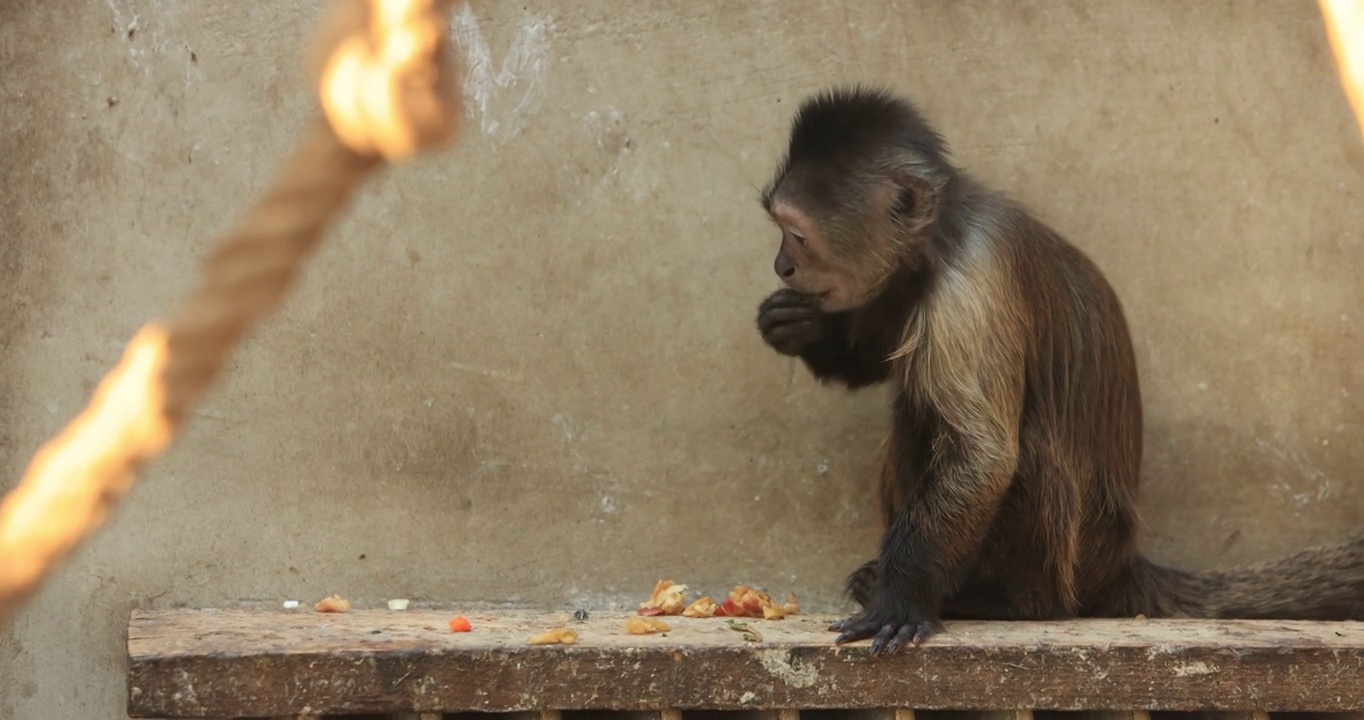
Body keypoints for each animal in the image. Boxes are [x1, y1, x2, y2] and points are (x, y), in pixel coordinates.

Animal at [758, 84, 1364, 651]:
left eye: (798, 235)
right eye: (781, 232)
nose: (782, 264)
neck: (939, 240)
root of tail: (1120, 564)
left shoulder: (969, 289)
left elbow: (984, 458)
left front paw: (901, 599)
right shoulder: (901, 278)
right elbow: (876, 359)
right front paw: (801, 329)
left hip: (1078, 558)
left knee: (1004, 451)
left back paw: (1006, 601)